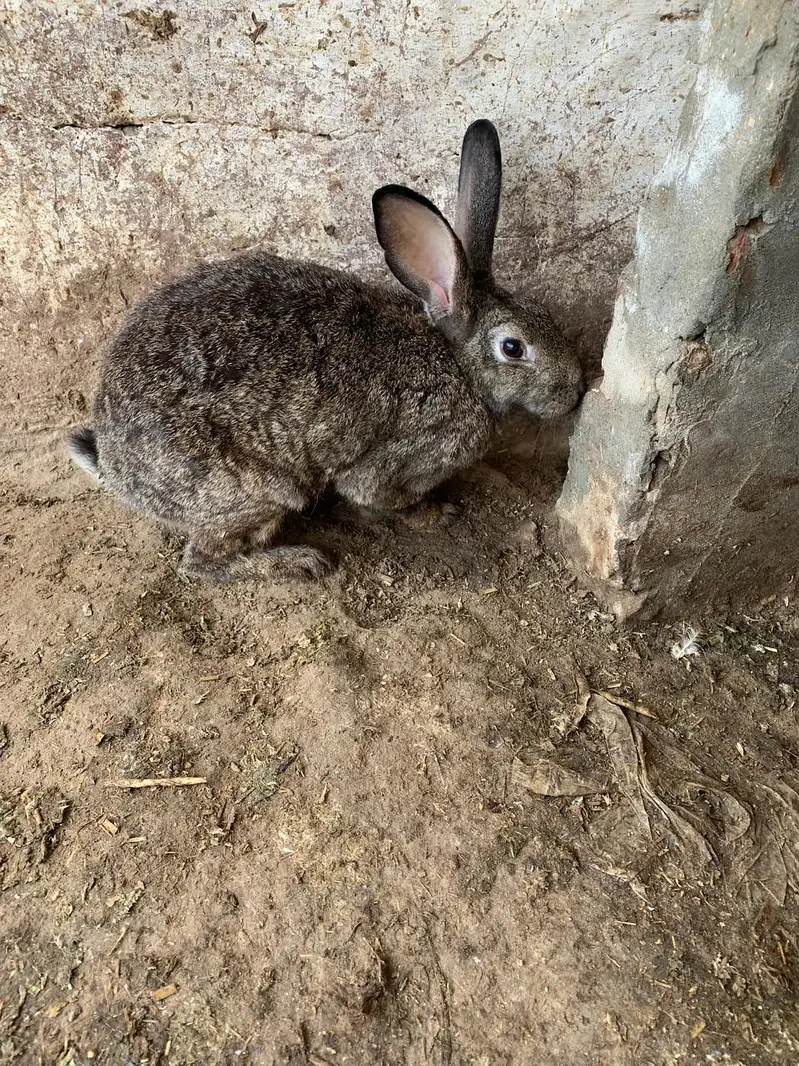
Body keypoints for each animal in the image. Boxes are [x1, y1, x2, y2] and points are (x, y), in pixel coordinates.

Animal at [67, 119, 584, 582]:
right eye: (513, 348)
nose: (578, 391)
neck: (460, 366)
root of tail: (116, 469)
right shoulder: (398, 460)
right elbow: (380, 498)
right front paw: (436, 514)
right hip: (258, 491)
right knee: (200, 561)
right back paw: (297, 563)